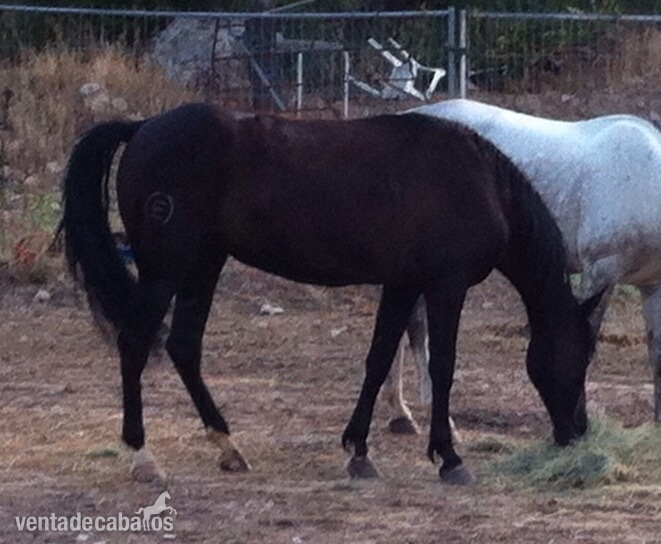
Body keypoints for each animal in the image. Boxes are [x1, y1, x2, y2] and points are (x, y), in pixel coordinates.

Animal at [61, 102, 600, 485]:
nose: (577, 432)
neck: (482, 182)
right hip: (166, 271)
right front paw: (448, 458)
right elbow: (442, 366)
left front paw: (359, 451)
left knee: (183, 347)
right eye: (581, 355)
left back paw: (228, 447)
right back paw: (143, 458)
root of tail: (141, 127)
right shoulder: (445, 286)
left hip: (202, 268)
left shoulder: (402, 284)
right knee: (135, 346)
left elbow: (379, 358)